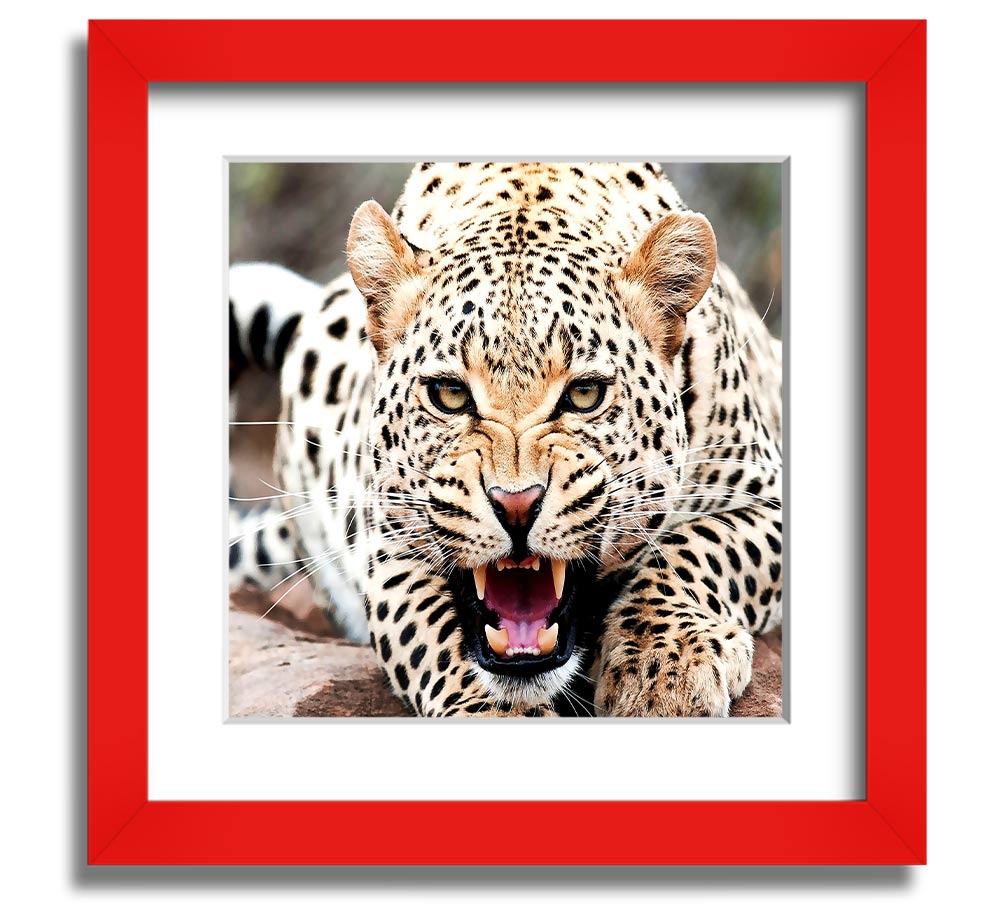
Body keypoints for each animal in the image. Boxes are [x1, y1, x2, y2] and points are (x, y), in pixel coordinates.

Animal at [229, 161, 783, 717]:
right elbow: (436, 639)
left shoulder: (768, 495)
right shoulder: (387, 547)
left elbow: (696, 548)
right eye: (450, 395)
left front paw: (663, 665)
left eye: (585, 394)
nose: (516, 505)